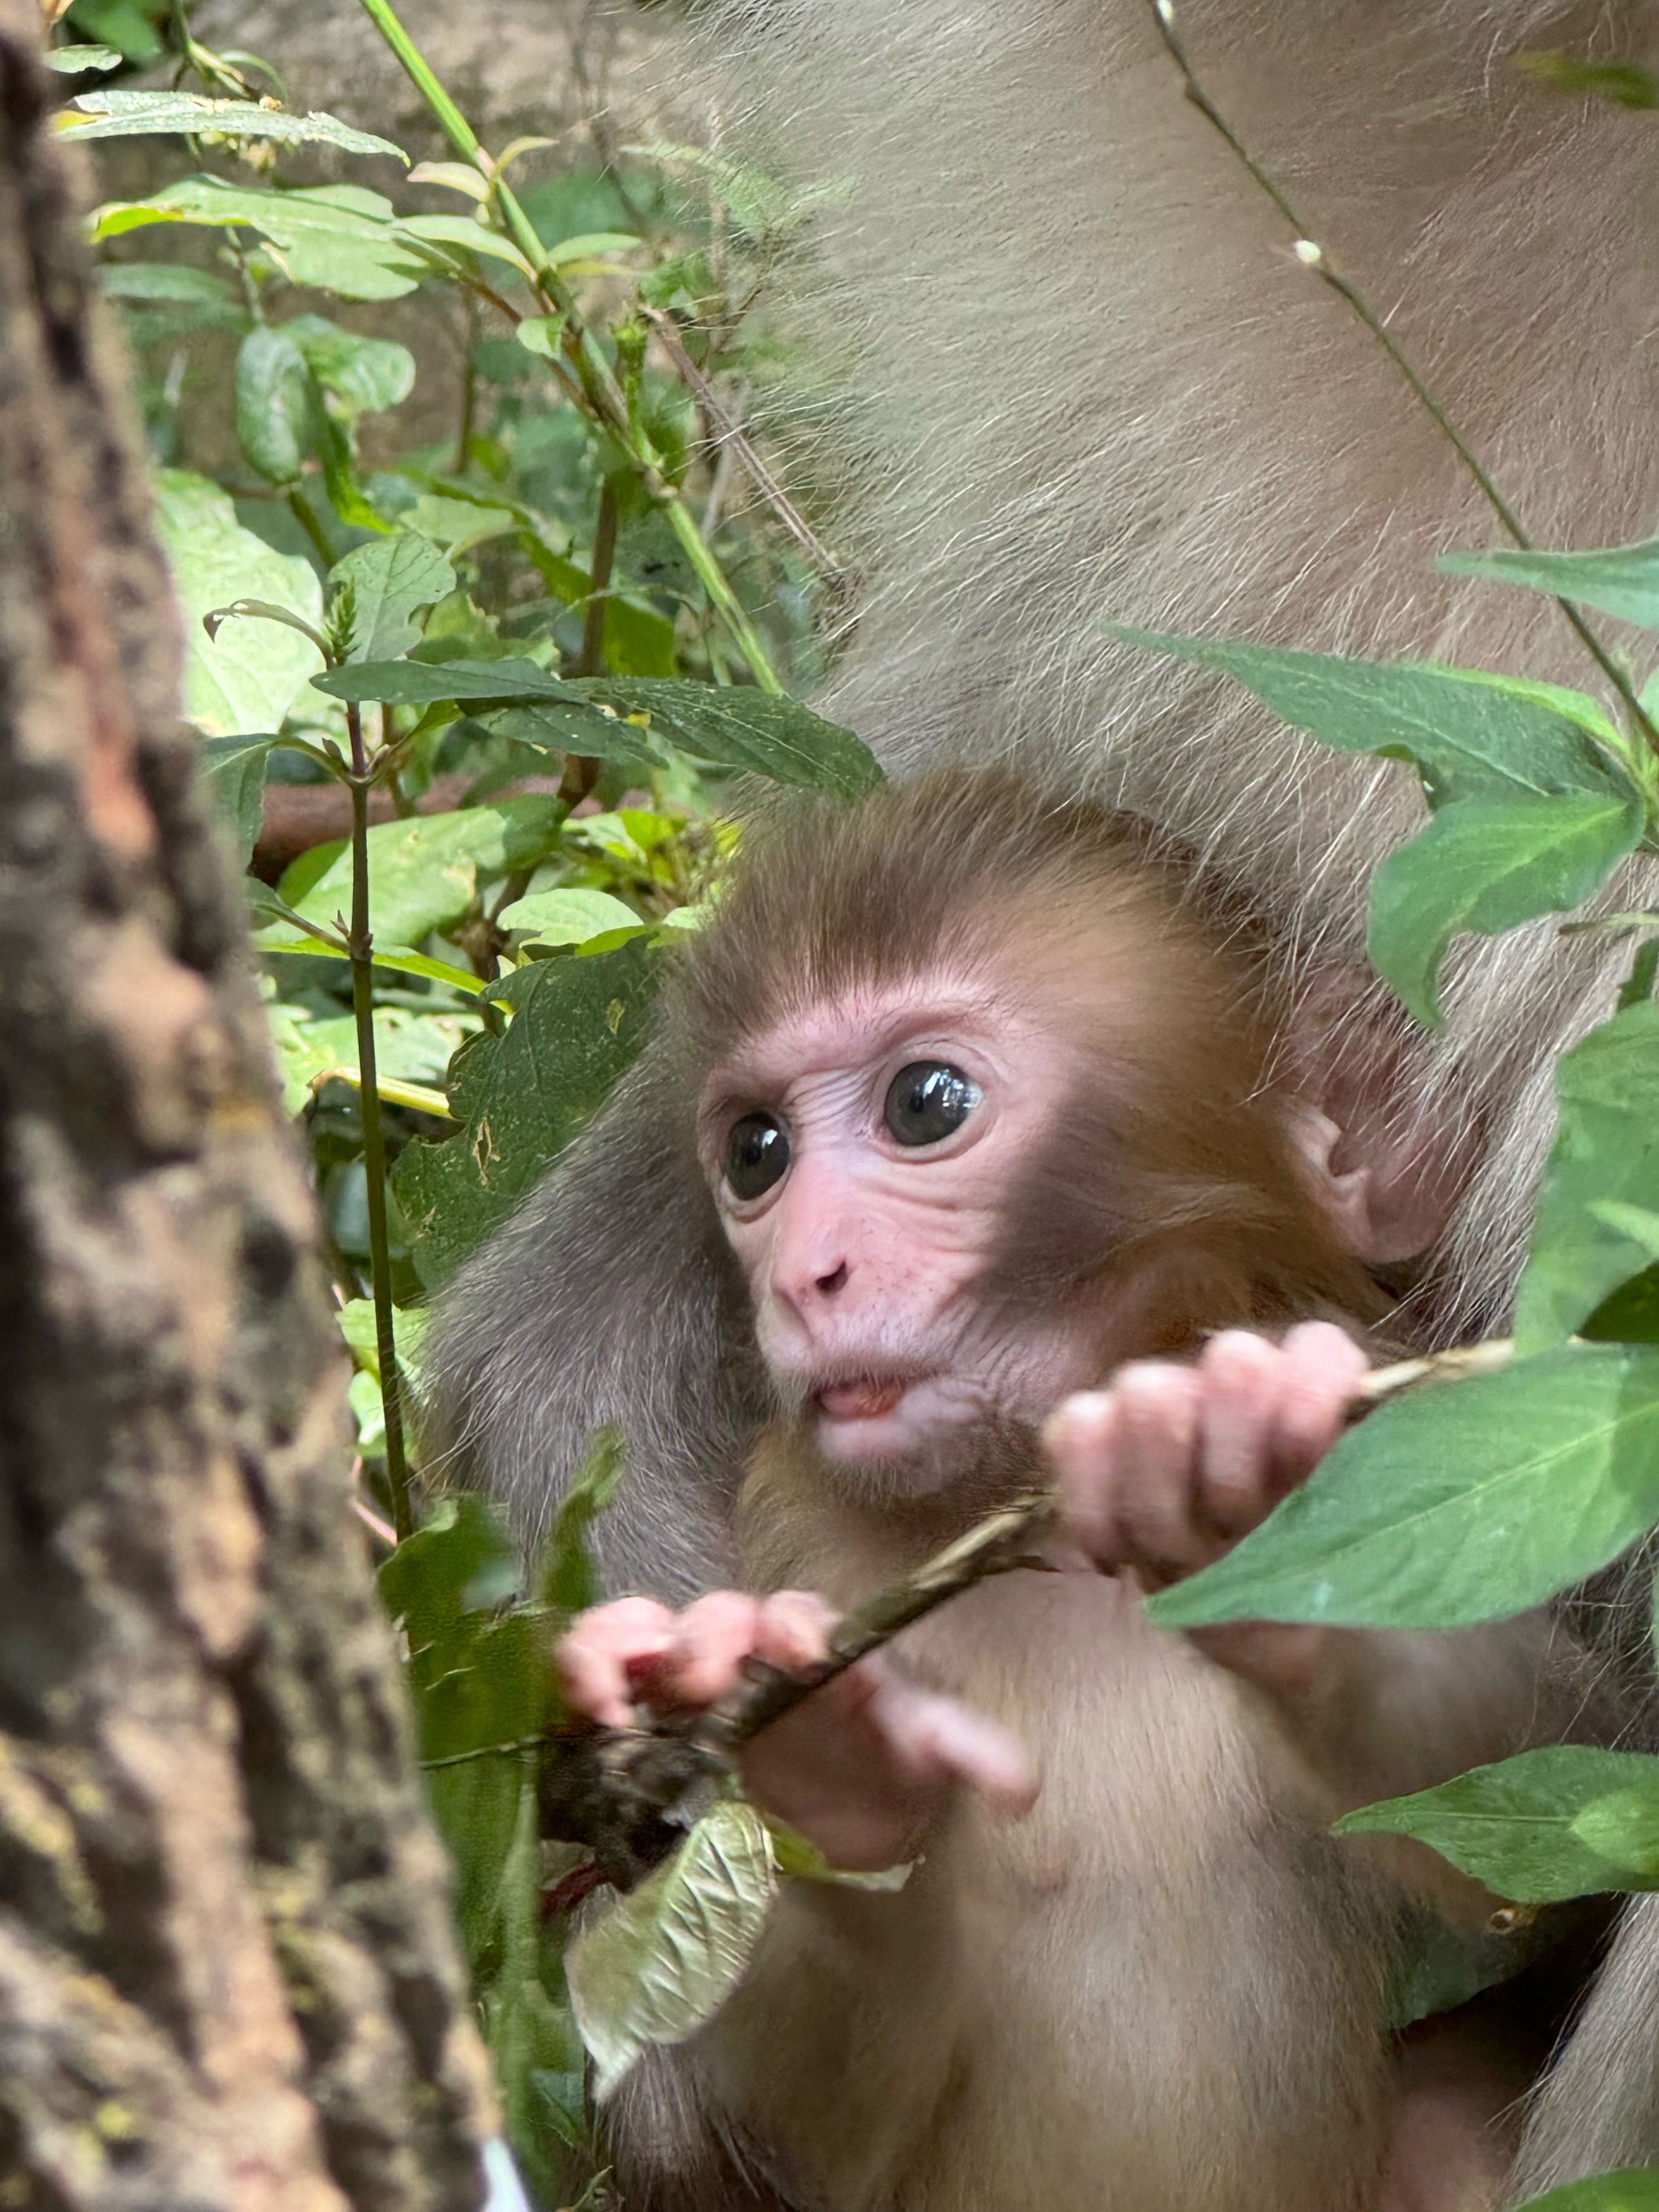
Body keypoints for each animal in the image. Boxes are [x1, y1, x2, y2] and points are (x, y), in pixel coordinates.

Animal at [561, 778, 1584, 2212]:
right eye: (756, 1153)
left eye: (925, 1103)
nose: (805, 1274)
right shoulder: (790, 1526)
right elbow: (818, 2136)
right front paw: (832, 1762)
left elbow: (1540, 1809)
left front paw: (1240, 1490)